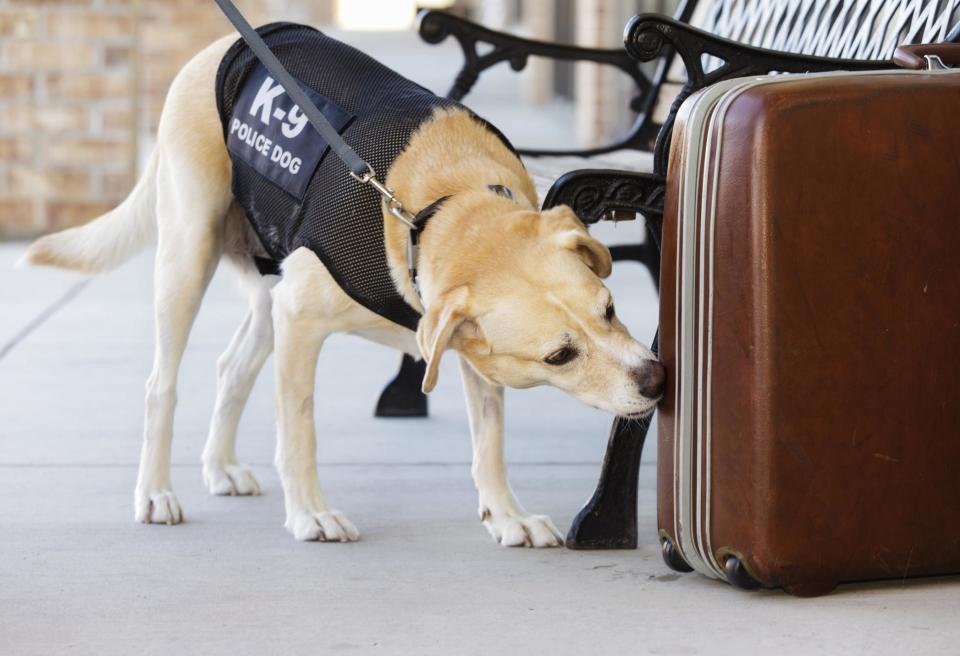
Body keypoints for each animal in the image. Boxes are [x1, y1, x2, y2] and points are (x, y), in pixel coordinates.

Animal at [22, 26, 668, 548]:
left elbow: (490, 443)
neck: (436, 209)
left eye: (611, 308)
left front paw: (507, 517)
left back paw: (220, 468)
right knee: (162, 385)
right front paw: (310, 514)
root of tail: (212, 50)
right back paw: (155, 493)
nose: (658, 381)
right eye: (560, 356)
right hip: (190, 255)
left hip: (267, 295)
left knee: (232, 368)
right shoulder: (301, 320)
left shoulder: (468, 353)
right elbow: (299, 431)